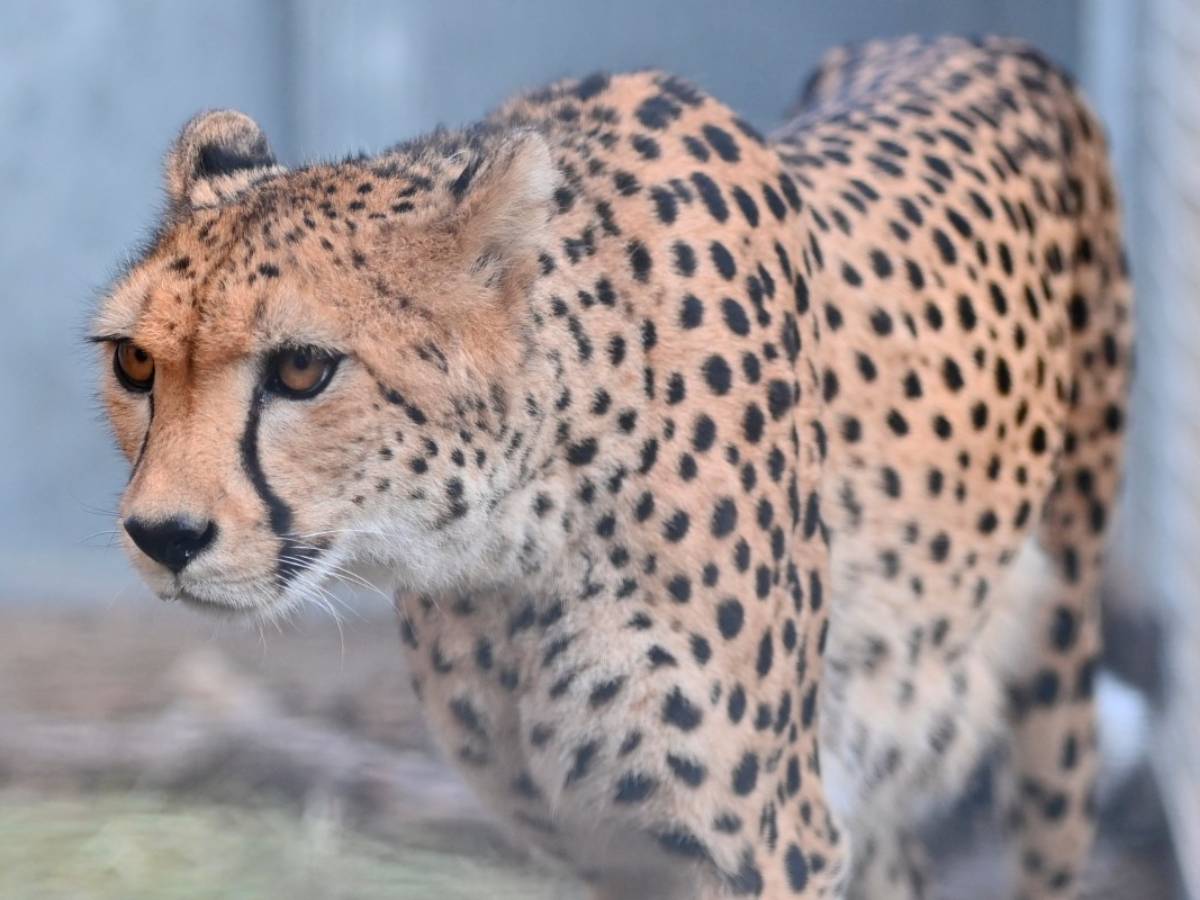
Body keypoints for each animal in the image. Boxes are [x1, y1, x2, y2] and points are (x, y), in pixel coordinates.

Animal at [93, 35, 1132, 899]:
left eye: (304, 368)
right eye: (135, 363)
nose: (163, 536)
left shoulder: (766, 842)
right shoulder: (605, 846)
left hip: (1057, 685)